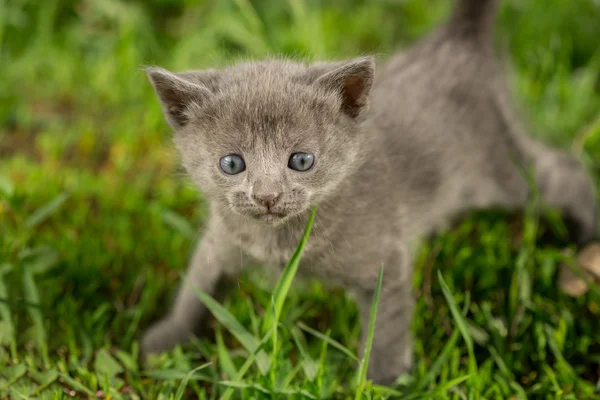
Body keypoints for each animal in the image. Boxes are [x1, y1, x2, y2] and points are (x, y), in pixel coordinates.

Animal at [139, 0, 596, 384]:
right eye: (232, 164)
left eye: (300, 160)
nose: (267, 196)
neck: (279, 240)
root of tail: (456, 40)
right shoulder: (220, 241)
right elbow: (195, 288)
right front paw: (166, 340)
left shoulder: (384, 261)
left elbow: (385, 326)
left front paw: (379, 382)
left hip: (504, 172)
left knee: (567, 172)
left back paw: (587, 237)